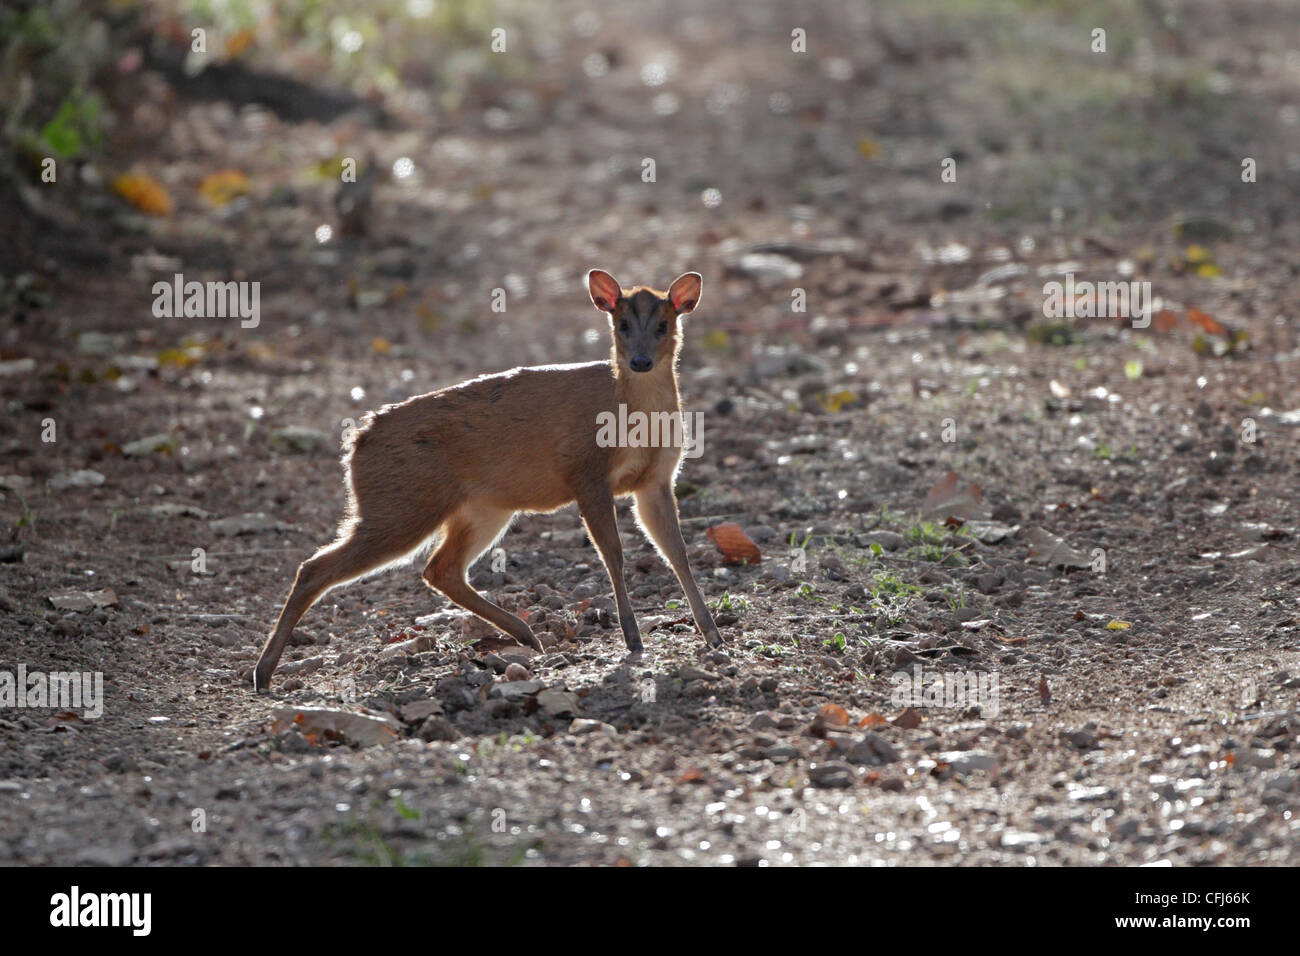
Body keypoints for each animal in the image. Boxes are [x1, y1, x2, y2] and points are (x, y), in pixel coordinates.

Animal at [253, 269, 722, 686]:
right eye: (621, 324)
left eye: (663, 324)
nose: (640, 361)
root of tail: (358, 439)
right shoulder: (586, 473)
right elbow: (614, 555)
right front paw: (633, 638)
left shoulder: (656, 481)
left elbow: (677, 552)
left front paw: (712, 634)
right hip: (400, 505)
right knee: (314, 566)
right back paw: (262, 673)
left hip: (481, 508)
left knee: (439, 569)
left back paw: (526, 635)